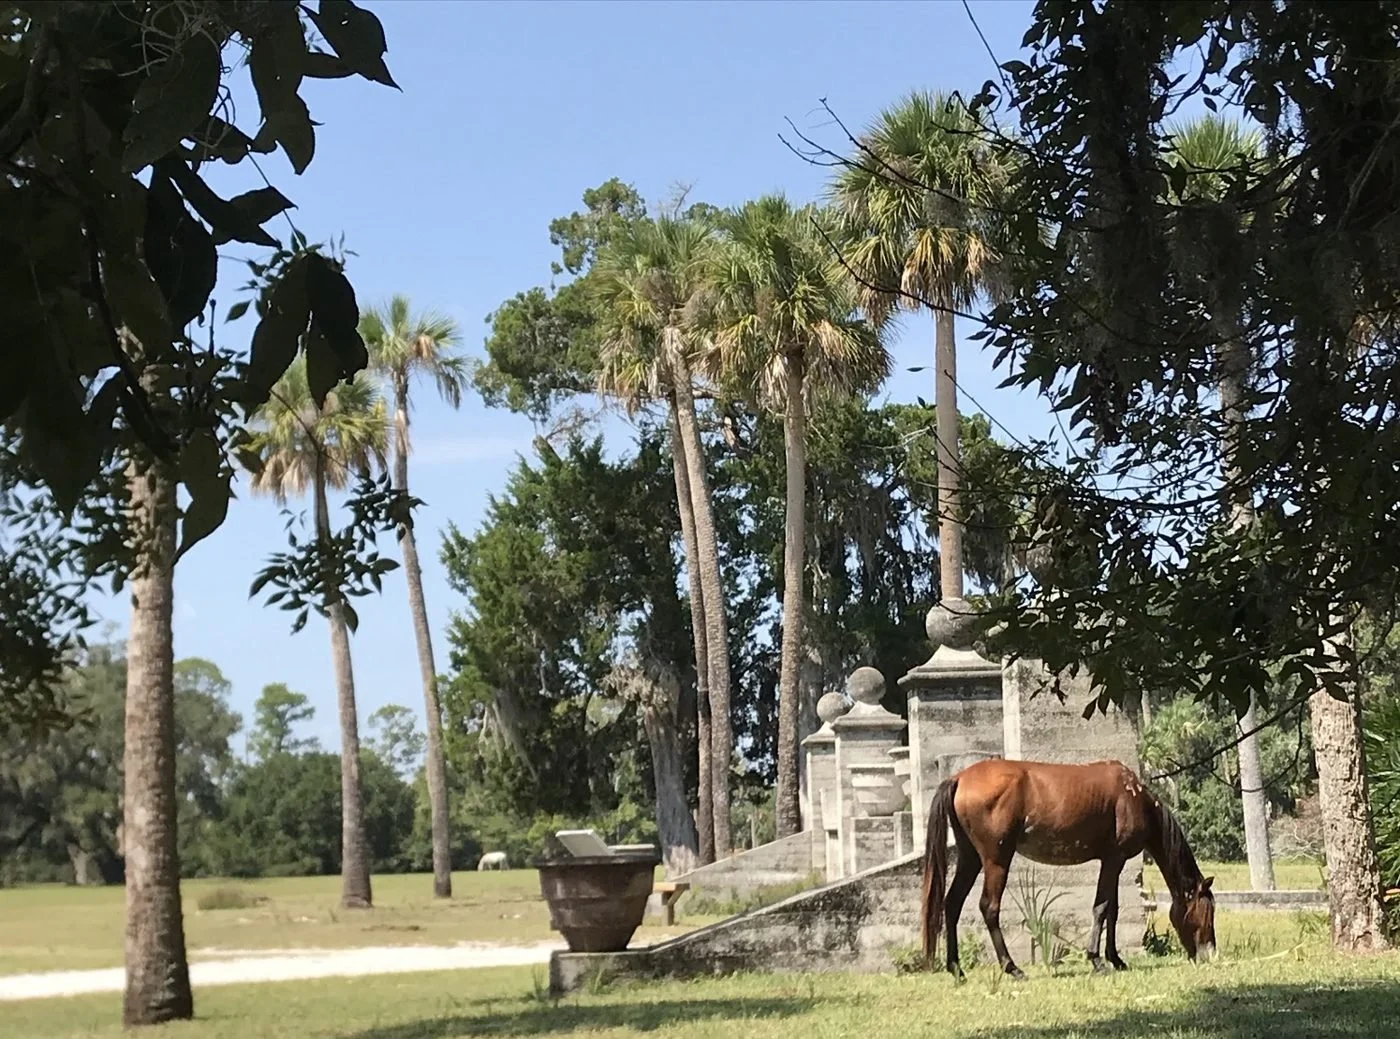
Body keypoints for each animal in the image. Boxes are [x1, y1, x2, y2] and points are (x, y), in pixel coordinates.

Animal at [921, 757, 1216, 979]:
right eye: (1207, 911)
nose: (1209, 953)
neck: (1134, 797)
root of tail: (959, 778)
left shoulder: (1112, 861)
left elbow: (1113, 910)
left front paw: (1116, 959)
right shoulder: (1114, 859)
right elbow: (1102, 908)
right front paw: (1096, 960)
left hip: (970, 858)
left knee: (952, 903)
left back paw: (957, 969)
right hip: (996, 860)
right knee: (989, 907)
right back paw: (1012, 967)